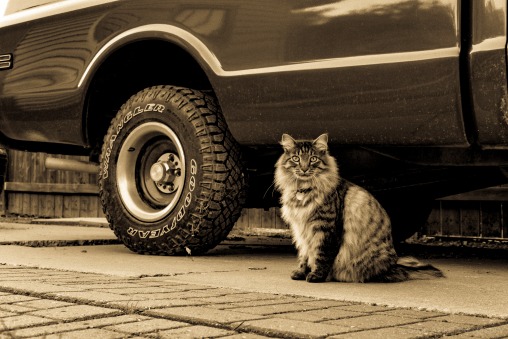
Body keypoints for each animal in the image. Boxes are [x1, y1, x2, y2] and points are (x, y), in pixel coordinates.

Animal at [272, 134, 442, 282]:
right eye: (296, 158)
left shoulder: (325, 229)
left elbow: (321, 255)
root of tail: (394, 266)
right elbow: (304, 255)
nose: (304, 168)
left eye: (313, 159)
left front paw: (317, 276)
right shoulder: (301, 230)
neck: (303, 190)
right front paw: (300, 272)